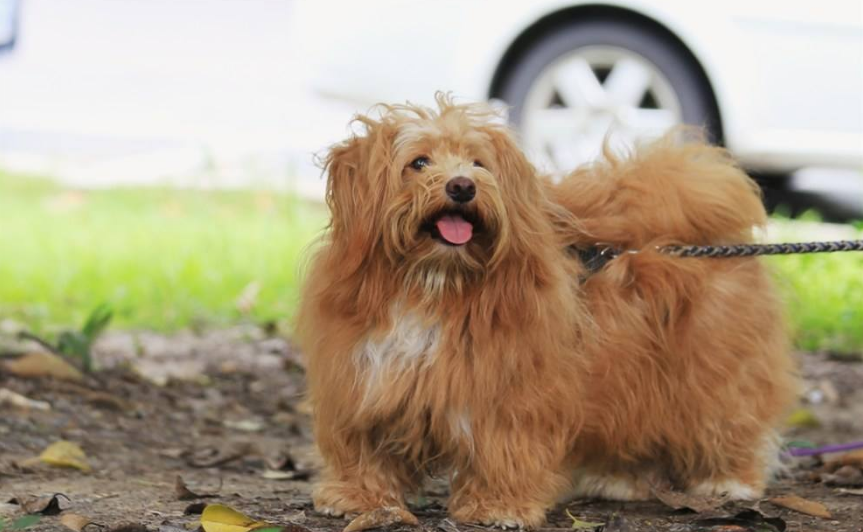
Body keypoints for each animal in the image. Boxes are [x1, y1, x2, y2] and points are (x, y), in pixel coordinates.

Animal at [296, 94, 796, 528]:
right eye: (418, 163)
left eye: (478, 164)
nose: (462, 186)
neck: (434, 285)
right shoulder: (366, 379)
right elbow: (365, 447)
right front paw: (357, 496)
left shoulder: (510, 390)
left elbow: (503, 448)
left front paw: (499, 506)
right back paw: (615, 478)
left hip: (711, 366)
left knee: (728, 418)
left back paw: (727, 480)